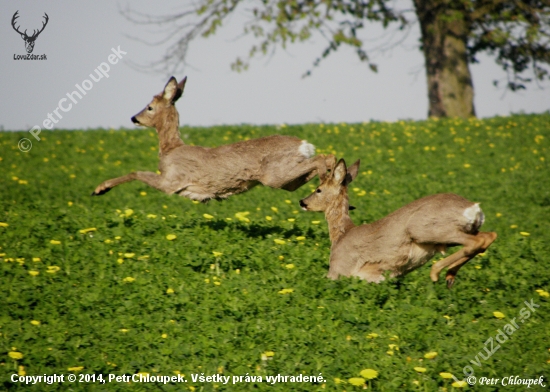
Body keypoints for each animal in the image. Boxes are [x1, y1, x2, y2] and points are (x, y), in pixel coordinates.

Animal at [92, 78, 336, 204]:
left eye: (150, 107)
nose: (134, 118)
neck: (171, 149)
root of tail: (303, 145)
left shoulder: (171, 181)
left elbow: (136, 173)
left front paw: (100, 189)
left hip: (276, 174)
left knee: (322, 158)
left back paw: (328, 180)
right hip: (287, 180)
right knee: (324, 160)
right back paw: (331, 181)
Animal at [302, 157, 500, 288]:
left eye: (318, 189)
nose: (302, 202)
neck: (341, 234)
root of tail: (473, 208)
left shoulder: (338, 268)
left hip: (427, 229)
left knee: (475, 242)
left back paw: (436, 273)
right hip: (459, 231)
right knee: (488, 236)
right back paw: (449, 277)